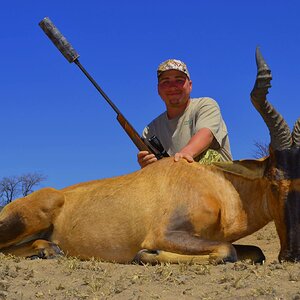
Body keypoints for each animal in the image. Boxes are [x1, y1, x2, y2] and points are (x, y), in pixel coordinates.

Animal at [0, 47, 298, 264]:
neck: (217, 185)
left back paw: (47, 248)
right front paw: (145, 254)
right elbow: (226, 251)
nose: (292, 255)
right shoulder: (166, 233)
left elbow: (254, 252)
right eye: (272, 182)